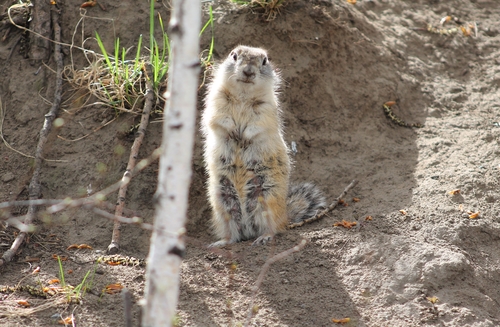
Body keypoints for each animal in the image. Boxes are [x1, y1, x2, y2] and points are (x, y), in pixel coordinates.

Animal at [201, 45, 326, 246]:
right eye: (233, 55)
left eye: (265, 60)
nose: (248, 71)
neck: (244, 93)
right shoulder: (216, 101)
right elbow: (217, 118)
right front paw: (233, 132)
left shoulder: (266, 108)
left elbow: (259, 123)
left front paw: (244, 136)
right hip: (223, 203)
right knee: (233, 234)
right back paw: (221, 242)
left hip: (267, 199)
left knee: (273, 228)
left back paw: (264, 237)